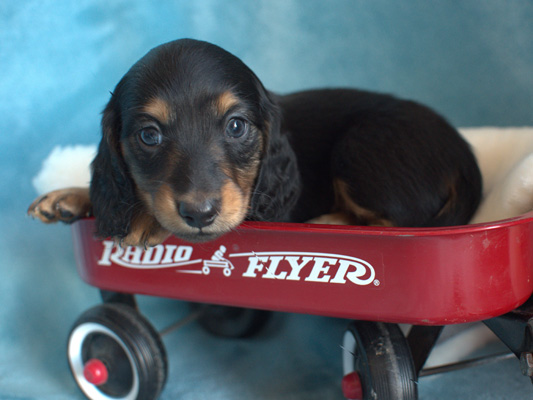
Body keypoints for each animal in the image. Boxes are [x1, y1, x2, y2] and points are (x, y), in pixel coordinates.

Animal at [27, 39, 480, 247]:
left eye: (236, 126)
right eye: (149, 135)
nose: (199, 213)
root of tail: (463, 153)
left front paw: (145, 219)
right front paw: (70, 196)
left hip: (360, 149)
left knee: (404, 223)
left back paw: (329, 222)